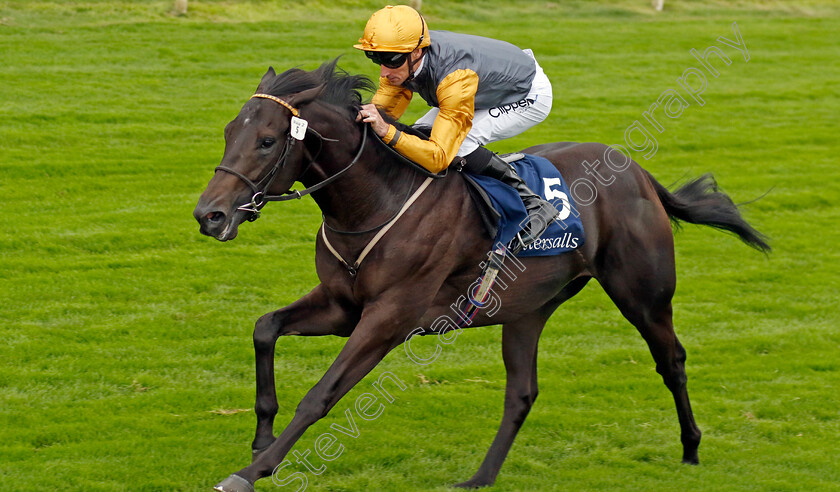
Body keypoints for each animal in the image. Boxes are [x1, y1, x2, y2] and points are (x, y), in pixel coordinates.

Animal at [194, 59, 772, 490]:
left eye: (268, 140)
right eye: (228, 132)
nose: (210, 215)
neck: (377, 200)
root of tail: (637, 171)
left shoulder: (388, 318)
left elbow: (321, 393)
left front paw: (252, 470)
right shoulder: (342, 305)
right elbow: (265, 328)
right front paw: (261, 436)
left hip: (643, 295)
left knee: (671, 360)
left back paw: (692, 448)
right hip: (527, 309)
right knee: (522, 392)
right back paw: (480, 477)